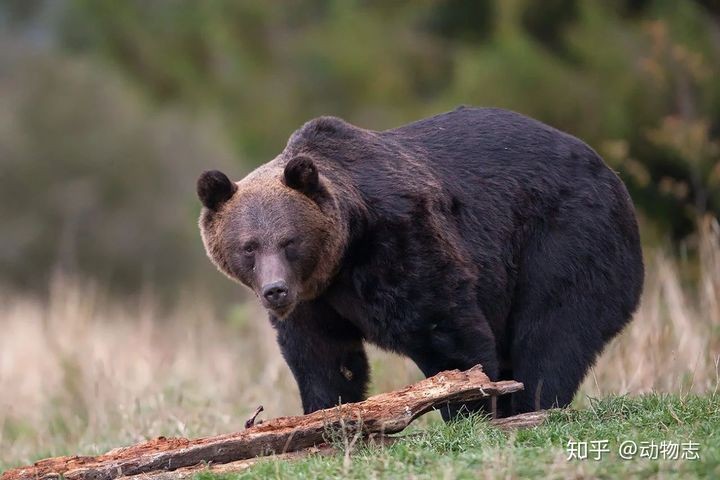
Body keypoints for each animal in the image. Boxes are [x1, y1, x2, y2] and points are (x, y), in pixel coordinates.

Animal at [195, 107, 640, 418]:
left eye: (290, 241)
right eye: (249, 247)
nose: (275, 290)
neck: (343, 255)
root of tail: (609, 171)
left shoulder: (401, 240)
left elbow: (446, 329)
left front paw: (468, 406)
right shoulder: (315, 301)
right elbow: (322, 358)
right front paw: (324, 415)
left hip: (565, 236)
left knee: (552, 328)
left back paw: (532, 403)